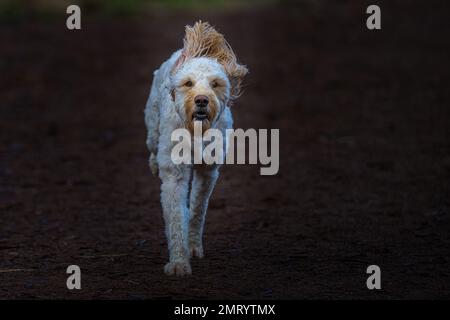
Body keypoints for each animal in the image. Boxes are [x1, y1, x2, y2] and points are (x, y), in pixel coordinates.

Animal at [144, 21, 248, 276]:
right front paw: (179, 263)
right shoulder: (175, 174)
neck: (196, 131)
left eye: (215, 83)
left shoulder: (208, 171)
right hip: (152, 124)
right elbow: (175, 217)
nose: (202, 100)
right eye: (188, 83)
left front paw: (192, 248)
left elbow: (197, 210)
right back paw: (153, 164)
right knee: (152, 145)